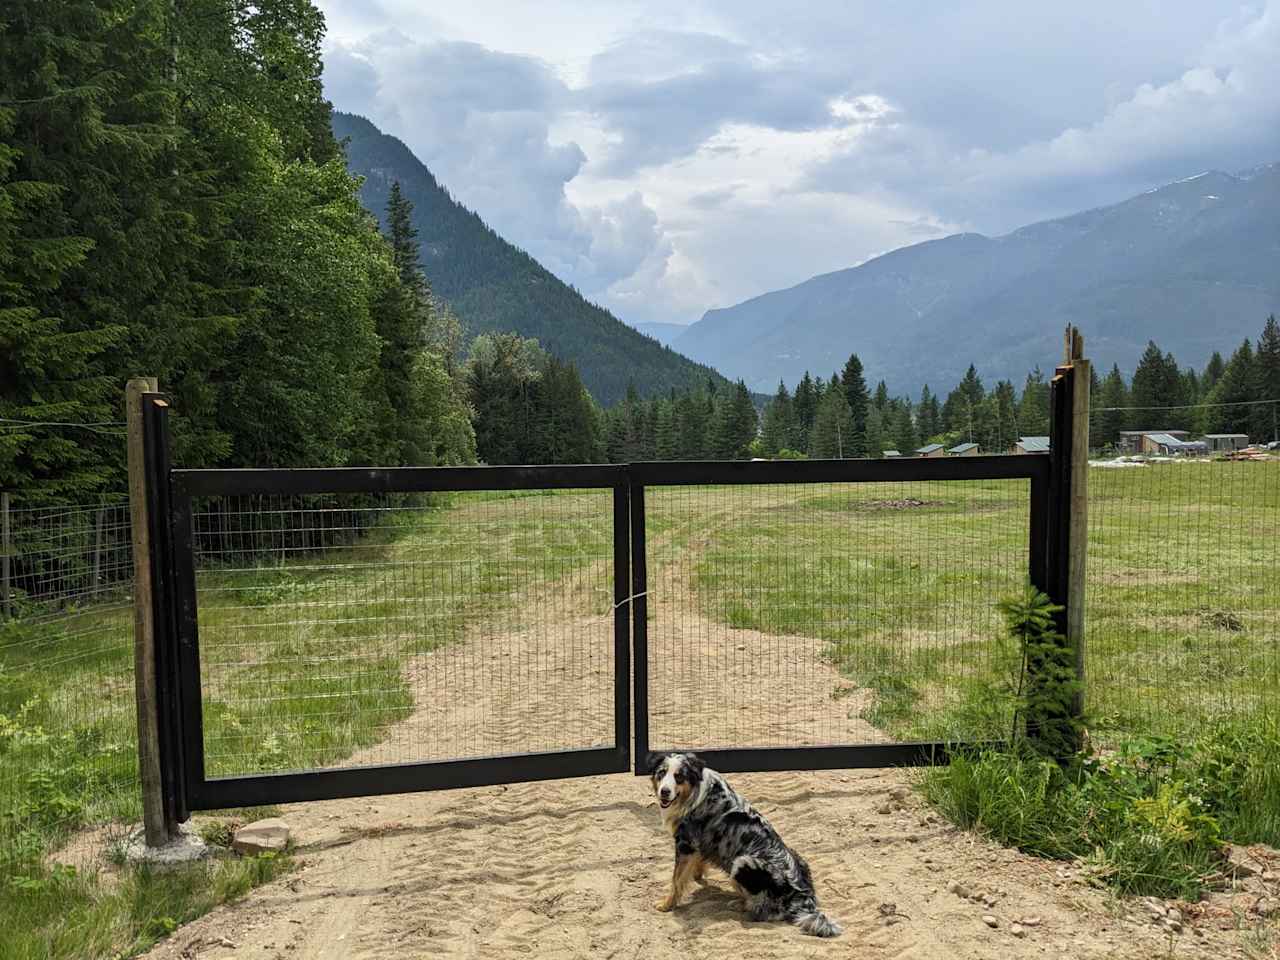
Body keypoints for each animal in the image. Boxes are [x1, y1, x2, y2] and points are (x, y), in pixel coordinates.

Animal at [650, 752, 839, 942]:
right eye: (661, 773)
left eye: (679, 776)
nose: (664, 791)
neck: (694, 795)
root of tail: (802, 895)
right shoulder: (696, 843)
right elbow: (697, 864)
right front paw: (697, 876)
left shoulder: (685, 844)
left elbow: (676, 880)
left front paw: (666, 905)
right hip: (797, 857)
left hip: (743, 862)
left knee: (764, 911)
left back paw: (739, 904)